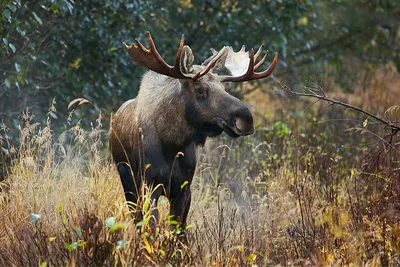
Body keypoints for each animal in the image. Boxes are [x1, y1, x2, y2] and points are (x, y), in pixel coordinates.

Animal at [109, 30, 278, 228]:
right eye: (200, 90)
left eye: (224, 87)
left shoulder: (184, 188)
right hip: (127, 182)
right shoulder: (148, 185)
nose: (246, 119)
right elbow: (152, 228)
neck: (172, 144)